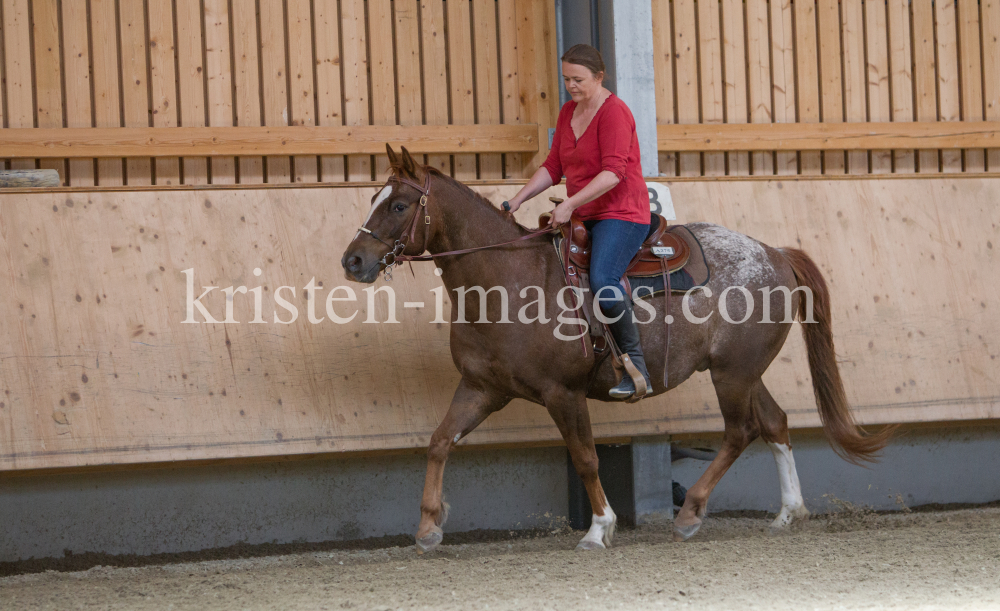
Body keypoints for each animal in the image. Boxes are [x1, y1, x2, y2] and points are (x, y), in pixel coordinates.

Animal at [342, 148, 892, 556]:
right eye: (373, 197)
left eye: (398, 205)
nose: (353, 260)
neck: (507, 281)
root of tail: (775, 253)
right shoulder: (482, 388)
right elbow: (439, 442)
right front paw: (428, 527)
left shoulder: (562, 393)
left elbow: (586, 457)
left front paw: (598, 527)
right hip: (743, 371)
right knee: (775, 422)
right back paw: (787, 512)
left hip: (732, 375)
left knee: (742, 431)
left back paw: (690, 513)